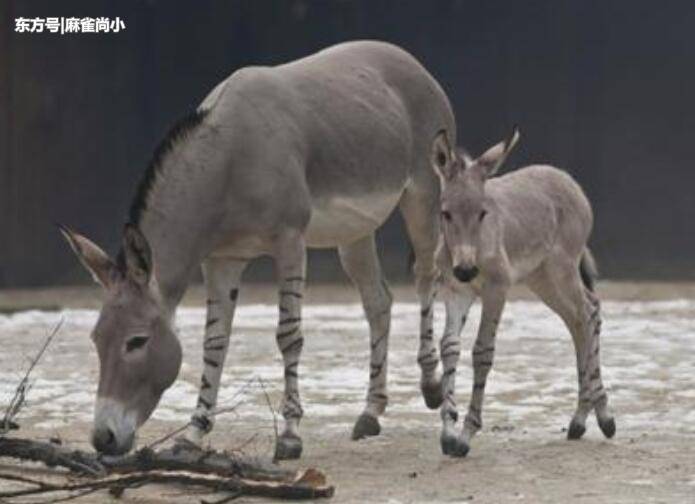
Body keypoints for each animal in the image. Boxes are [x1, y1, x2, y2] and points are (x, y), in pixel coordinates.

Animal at [58, 42, 456, 460]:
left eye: (137, 341)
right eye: (96, 339)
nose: (103, 439)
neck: (230, 159)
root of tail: (406, 57)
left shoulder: (289, 241)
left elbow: (289, 335)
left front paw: (290, 436)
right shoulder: (221, 260)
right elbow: (214, 343)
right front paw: (193, 434)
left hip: (424, 199)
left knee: (427, 278)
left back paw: (431, 385)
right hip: (354, 231)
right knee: (378, 302)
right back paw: (370, 413)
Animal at [432, 127, 616, 456]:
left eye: (482, 213)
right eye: (446, 213)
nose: (466, 270)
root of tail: (566, 178)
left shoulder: (497, 289)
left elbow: (482, 351)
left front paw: (466, 435)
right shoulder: (455, 291)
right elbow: (449, 346)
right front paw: (448, 432)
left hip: (562, 269)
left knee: (588, 313)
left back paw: (603, 417)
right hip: (542, 279)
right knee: (577, 319)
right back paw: (580, 420)